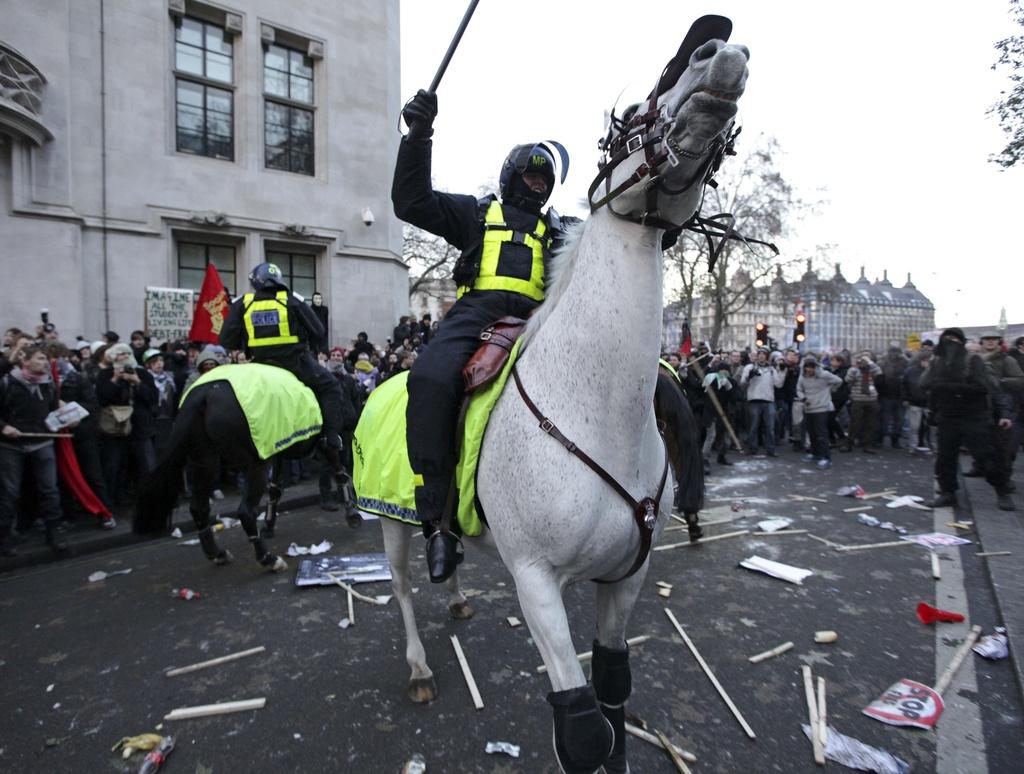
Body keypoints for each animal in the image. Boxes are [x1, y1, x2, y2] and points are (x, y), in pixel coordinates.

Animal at [133, 372, 360, 573]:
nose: (355, 416)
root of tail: (204, 395)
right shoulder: (321, 444)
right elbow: (339, 471)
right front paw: (352, 513)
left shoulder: (276, 447)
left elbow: (275, 489)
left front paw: (268, 524)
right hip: (255, 464)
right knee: (245, 511)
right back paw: (269, 559)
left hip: (205, 461)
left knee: (199, 507)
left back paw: (218, 553)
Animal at [372, 16, 749, 774]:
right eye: (628, 113)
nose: (717, 52)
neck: (597, 412)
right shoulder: (537, 580)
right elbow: (582, 728)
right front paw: (420, 117)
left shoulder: (625, 577)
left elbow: (614, 691)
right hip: (388, 516)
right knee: (399, 586)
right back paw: (421, 667)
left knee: (440, 550)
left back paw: (455, 587)